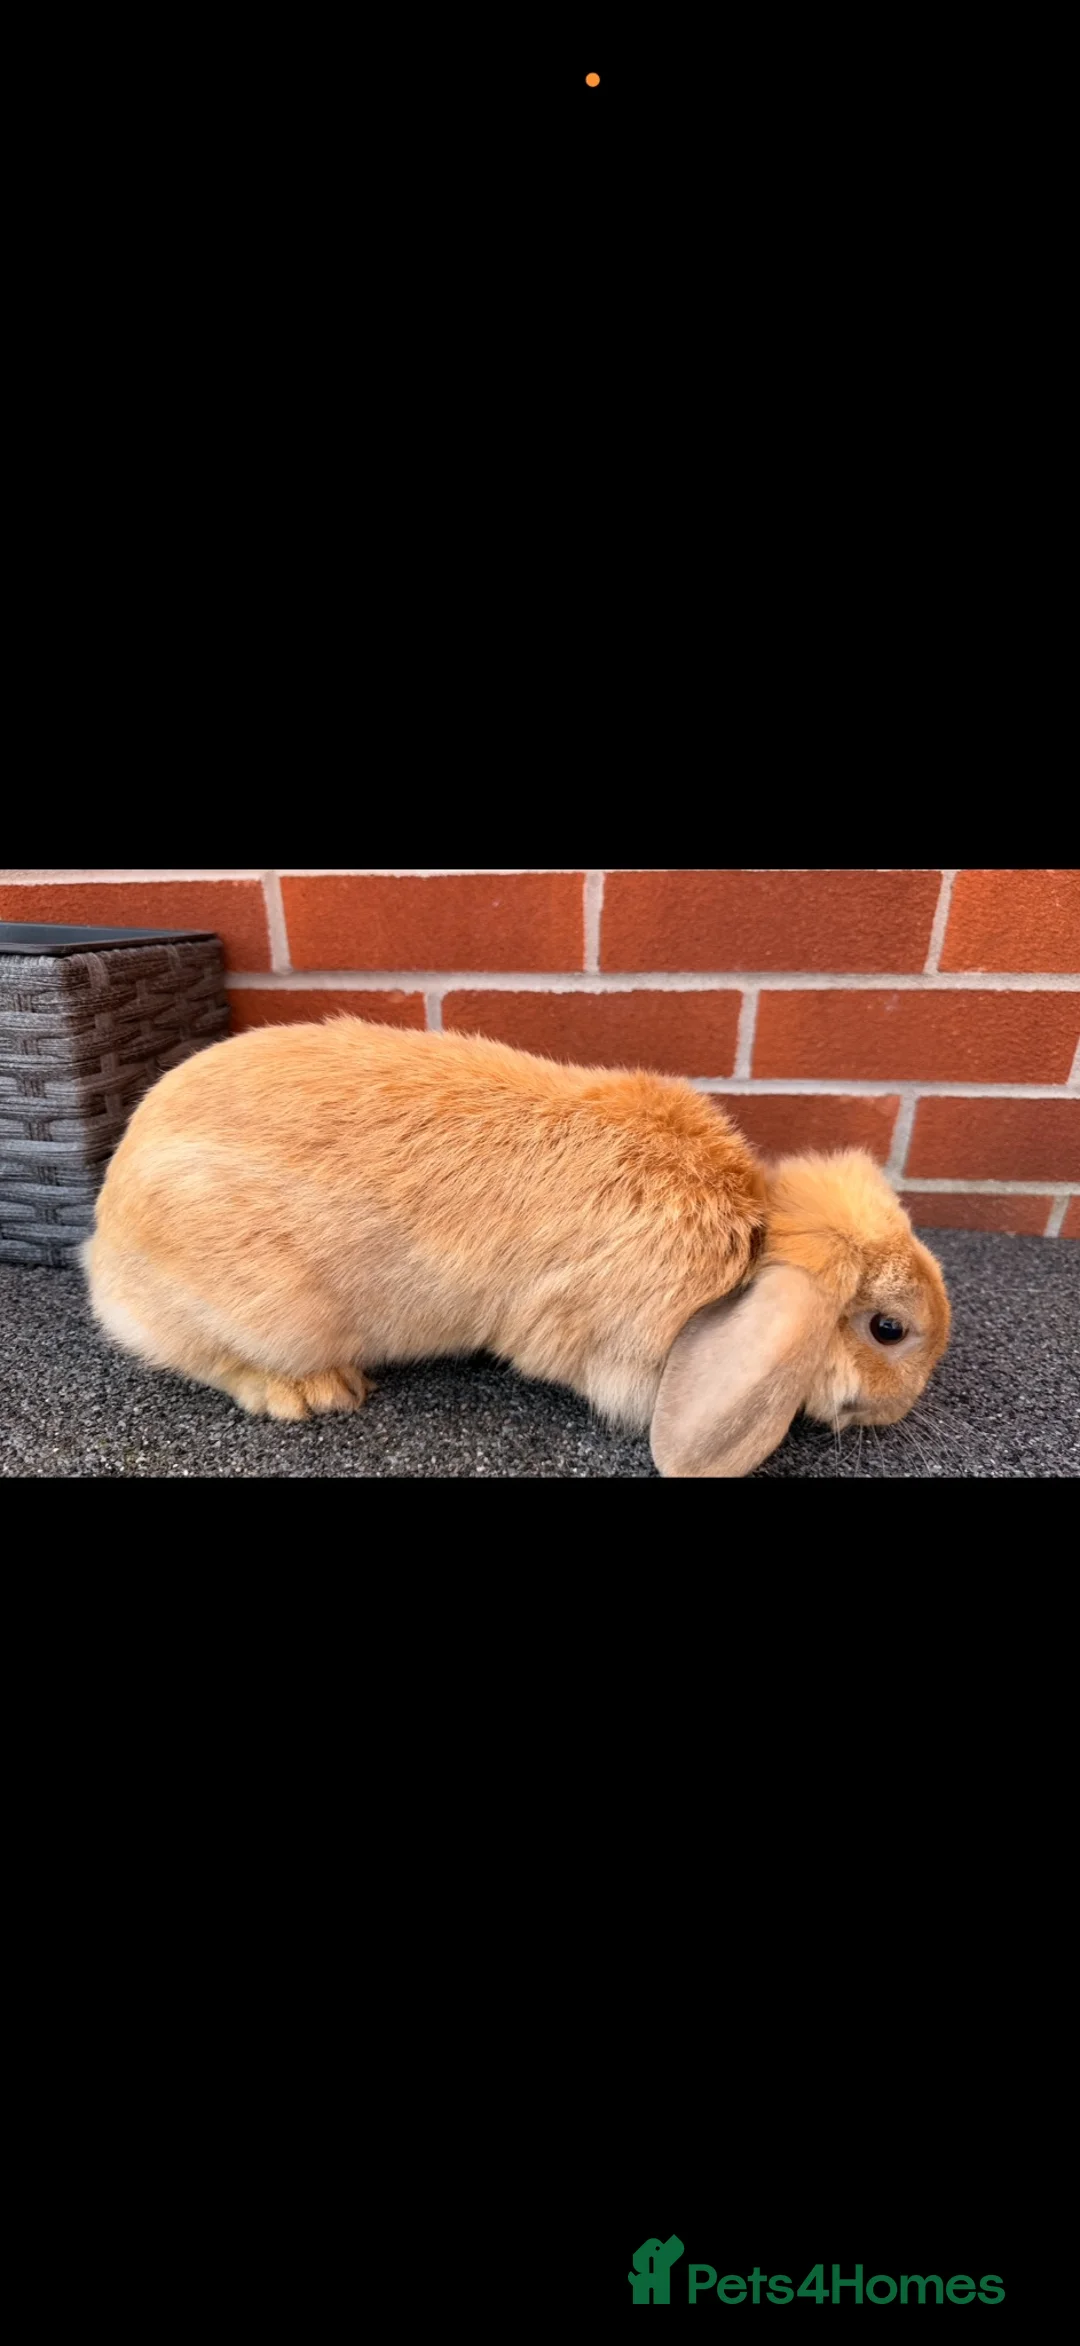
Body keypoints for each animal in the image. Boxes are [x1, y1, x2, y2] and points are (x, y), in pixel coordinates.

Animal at [81, 1017, 951, 1475]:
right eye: (890, 1330)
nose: (904, 1408)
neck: (751, 1241)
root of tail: (104, 1244)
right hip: (261, 1314)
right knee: (201, 1356)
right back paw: (312, 1393)